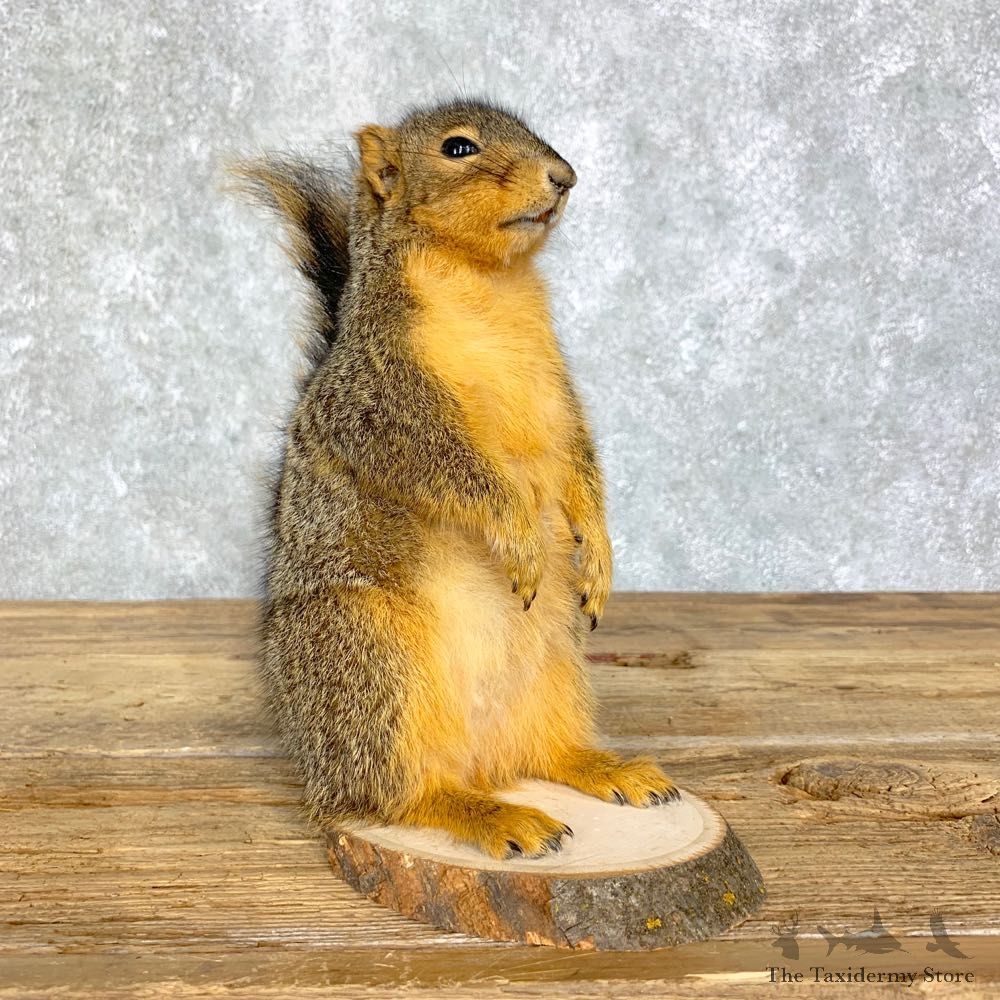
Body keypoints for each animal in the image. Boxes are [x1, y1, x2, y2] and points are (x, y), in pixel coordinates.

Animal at [234, 98, 677, 860]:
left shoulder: (557, 391)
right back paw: (491, 816)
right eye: (458, 148)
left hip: (556, 662)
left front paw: (598, 551)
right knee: (398, 794)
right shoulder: (382, 401)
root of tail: (483, 765)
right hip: (369, 660)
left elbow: (579, 462)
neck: (486, 284)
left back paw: (604, 768)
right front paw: (520, 536)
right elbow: (453, 470)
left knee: (545, 754)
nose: (564, 177)